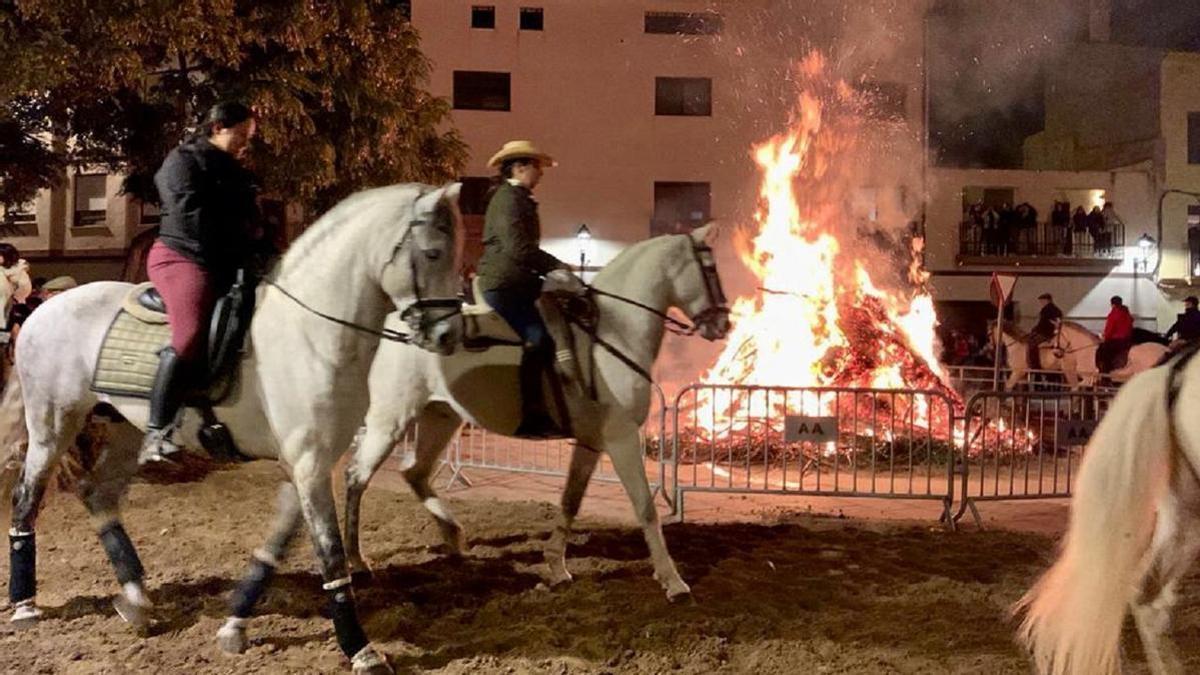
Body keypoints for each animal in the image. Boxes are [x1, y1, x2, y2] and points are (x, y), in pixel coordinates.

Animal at [0, 182, 463, 672]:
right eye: (433, 253)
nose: (449, 337)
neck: (312, 333)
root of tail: (42, 312)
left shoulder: (308, 463)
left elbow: (277, 544)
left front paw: (235, 625)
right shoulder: (309, 463)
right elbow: (330, 556)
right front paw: (362, 649)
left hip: (123, 429)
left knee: (97, 494)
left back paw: (136, 599)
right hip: (52, 425)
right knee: (26, 497)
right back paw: (26, 605)